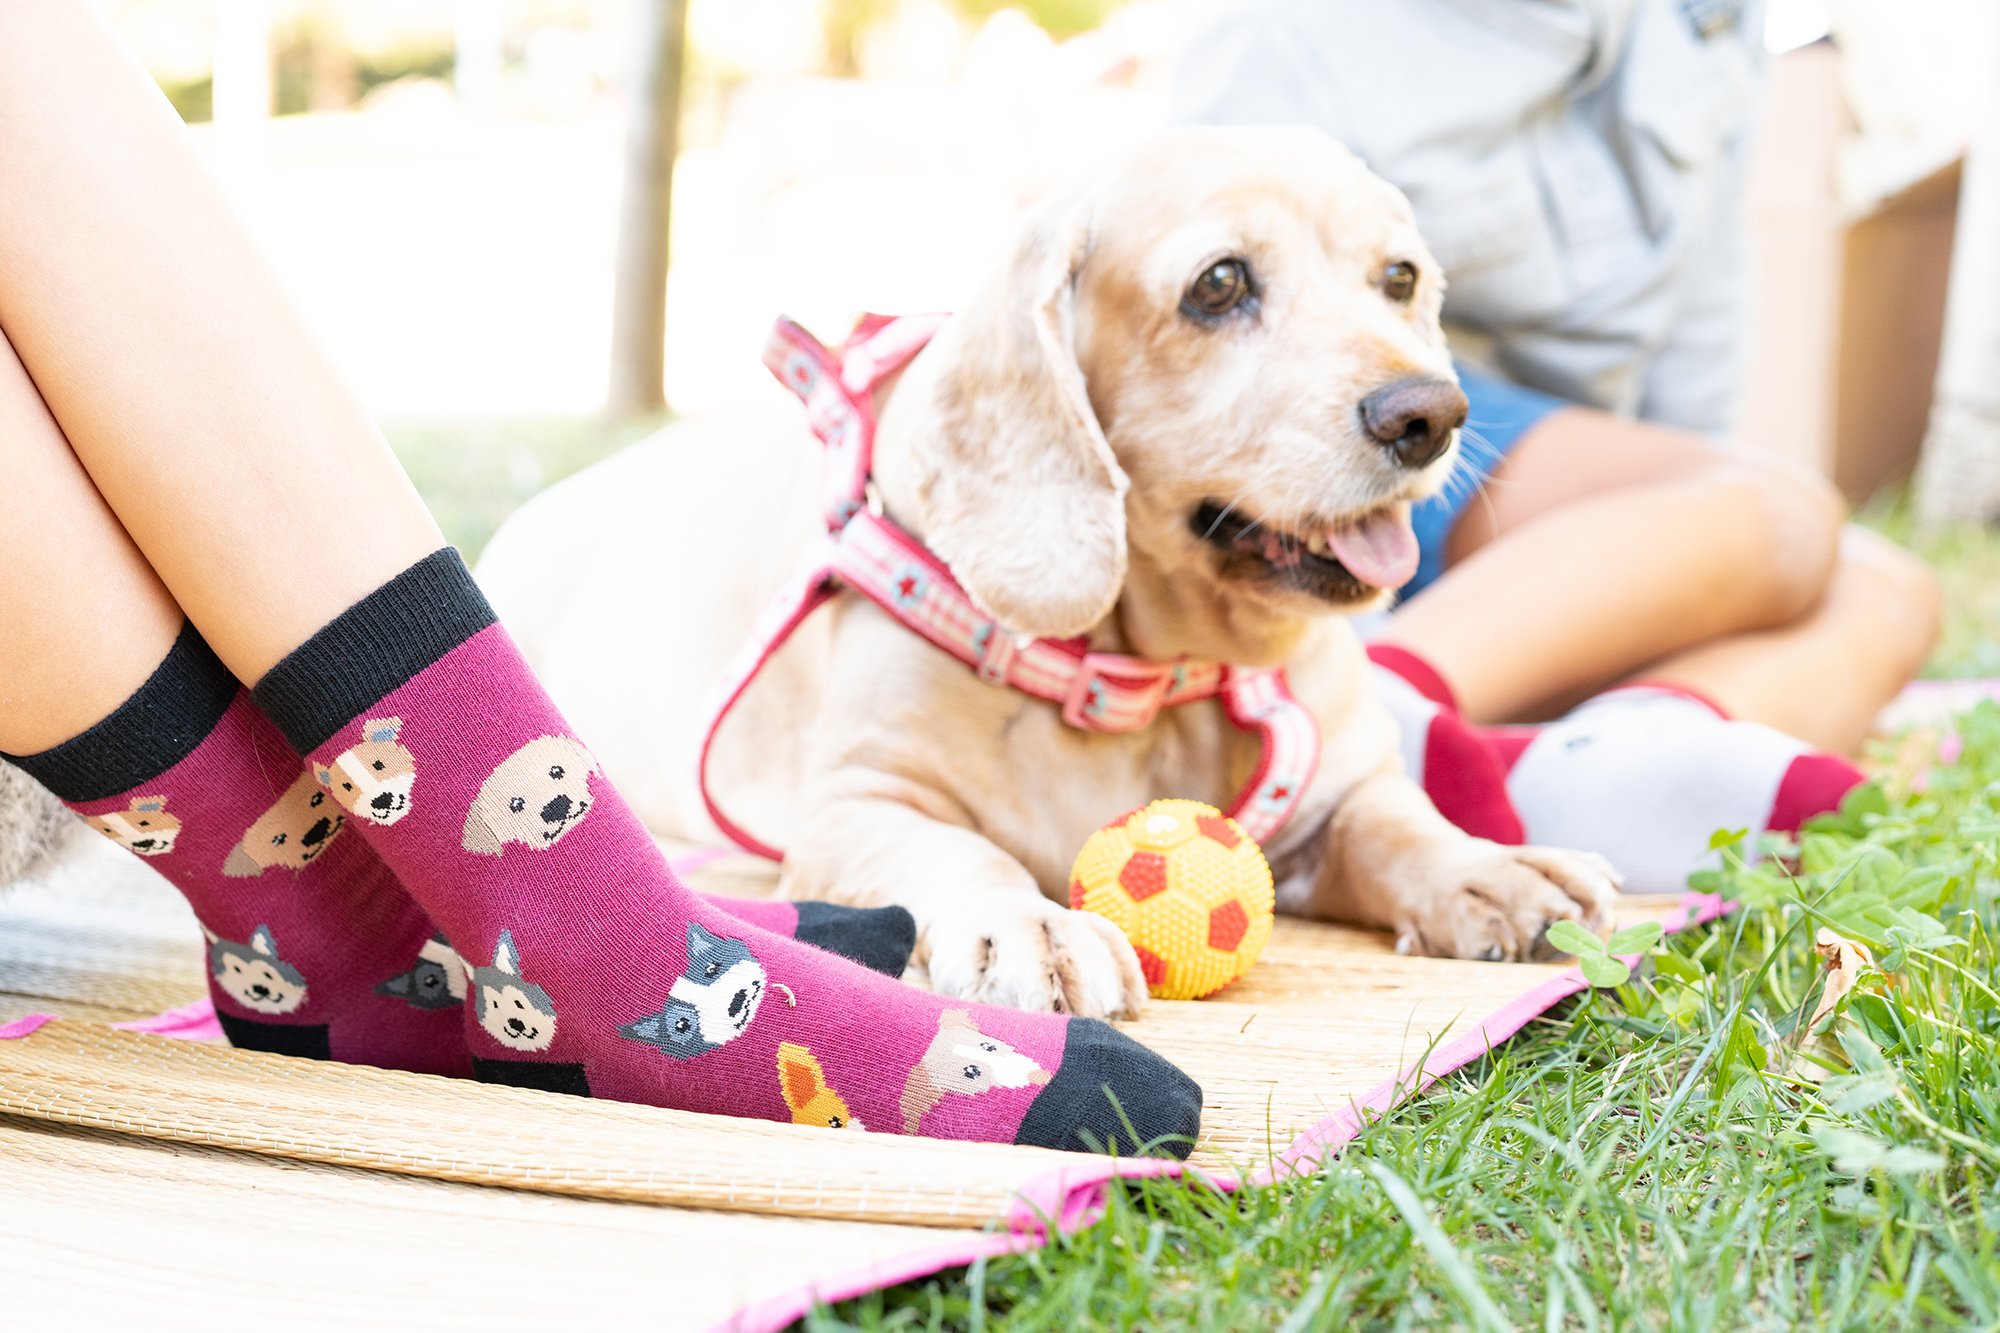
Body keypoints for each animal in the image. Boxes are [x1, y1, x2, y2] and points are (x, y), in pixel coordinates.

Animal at [480, 127, 1624, 1016]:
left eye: (1400, 279)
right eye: (1219, 284)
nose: (1431, 415)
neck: (1143, 680)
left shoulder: (1336, 792)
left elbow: (1398, 825)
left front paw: (1491, 867)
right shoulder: (859, 807)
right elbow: (961, 855)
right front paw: (1025, 923)